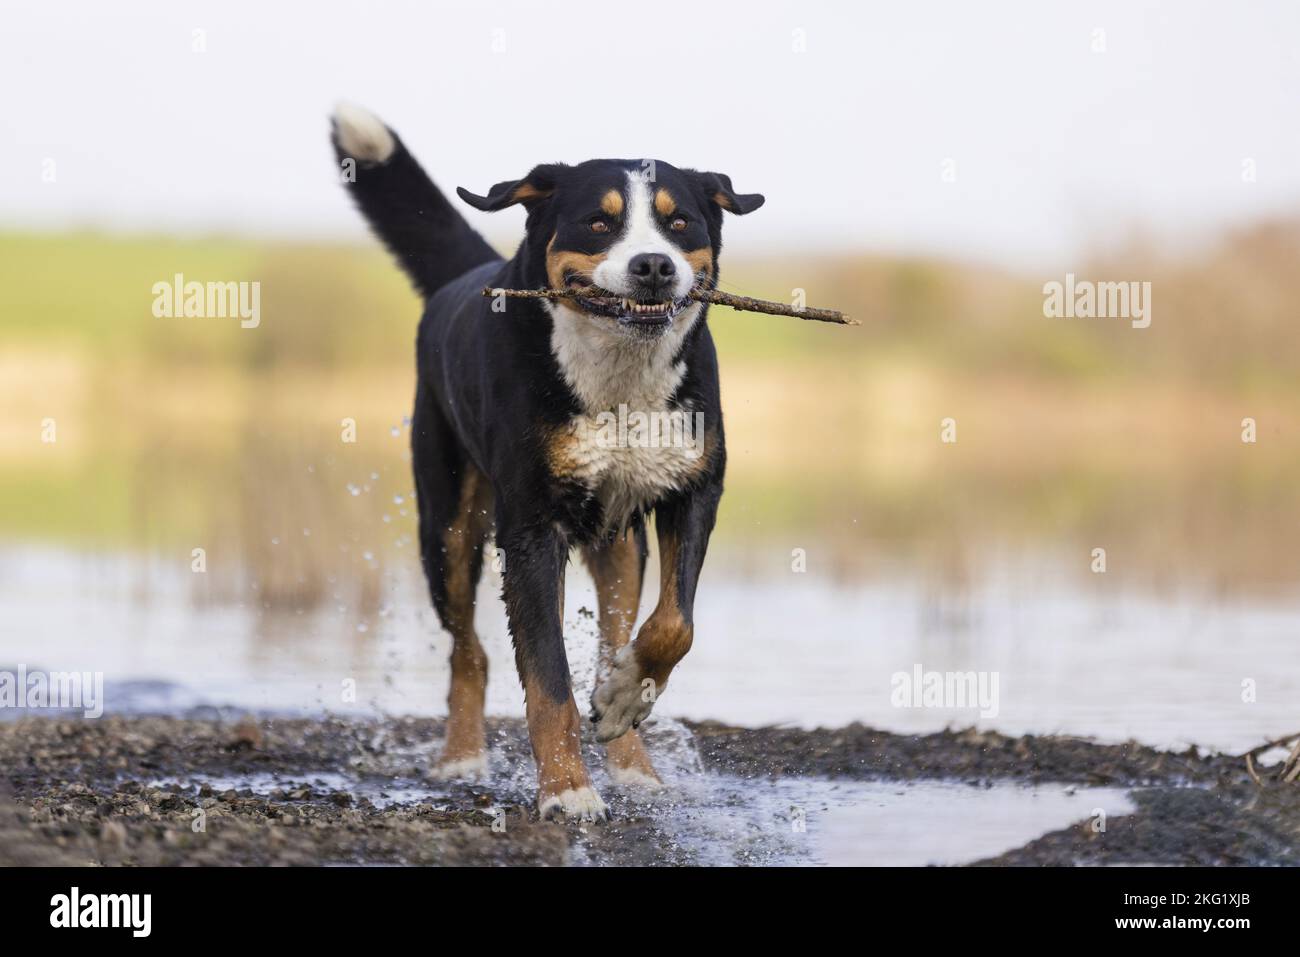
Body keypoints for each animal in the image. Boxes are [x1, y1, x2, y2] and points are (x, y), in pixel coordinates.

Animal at [330, 104, 764, 821]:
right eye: (598, 222)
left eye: (679, 222)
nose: (653, 265)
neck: (619, 380)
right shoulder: (531, 527)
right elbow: (547, 678)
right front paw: (565, 789)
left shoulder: (695, 490)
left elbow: (673, 624)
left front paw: (621, 702)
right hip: (448, 528)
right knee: (469, 653)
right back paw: (462, 756)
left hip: (619, 544)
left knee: (616, 638)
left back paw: (633, 759)